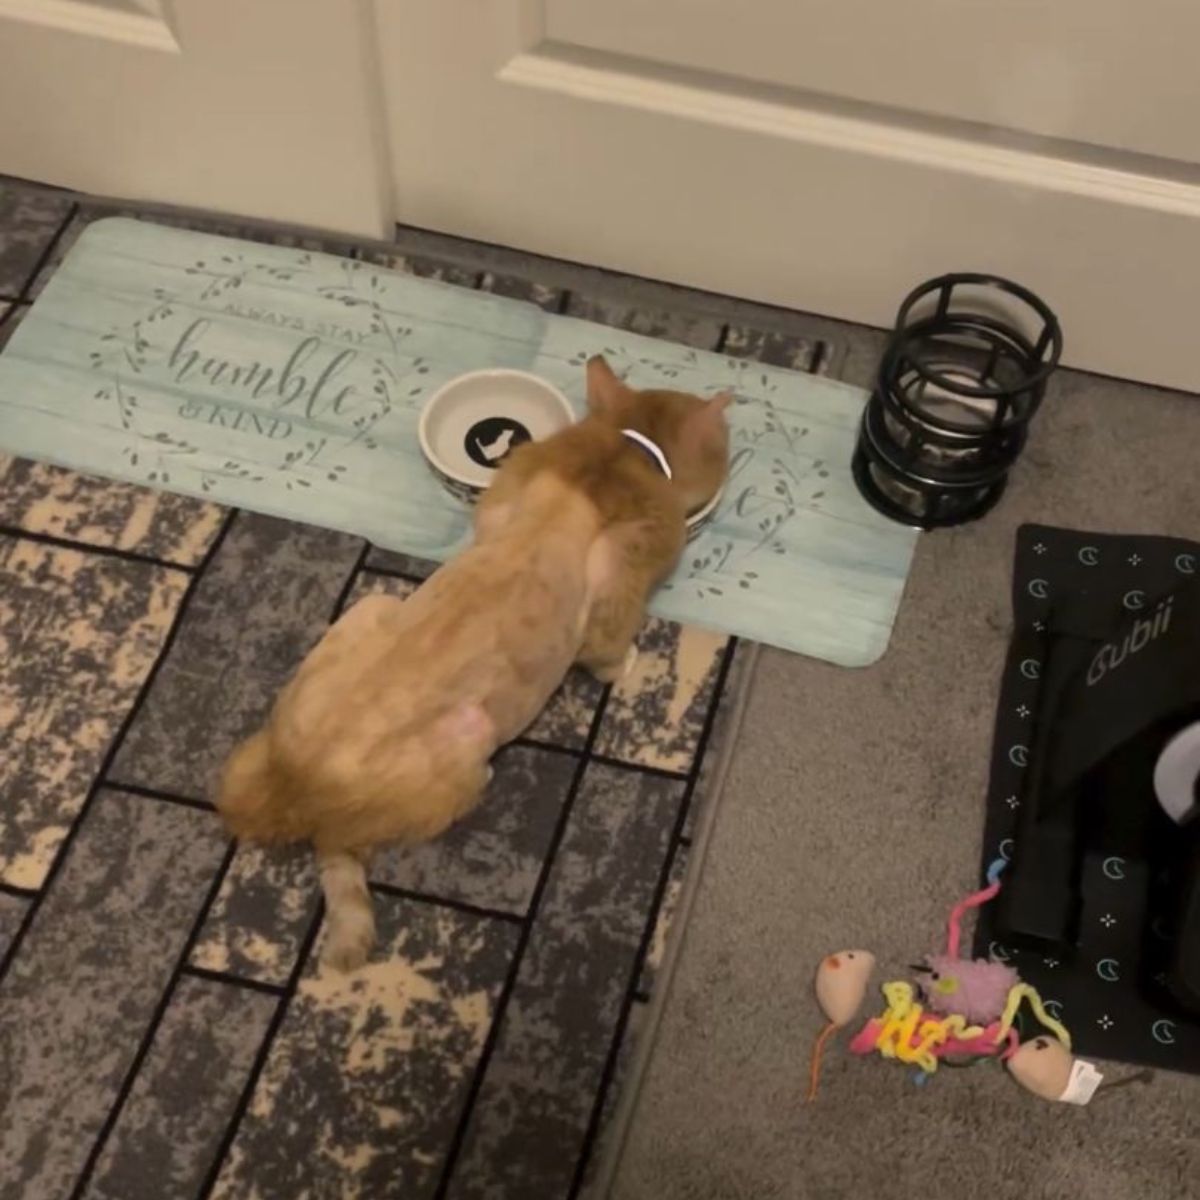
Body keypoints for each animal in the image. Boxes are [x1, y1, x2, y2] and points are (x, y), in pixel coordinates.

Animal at [216, 355, 729, 964]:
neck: (621, 450)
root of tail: (292, 789)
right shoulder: (616, 601)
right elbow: (610, 652)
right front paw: (631, 663)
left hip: (373, 604)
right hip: (470, 737)